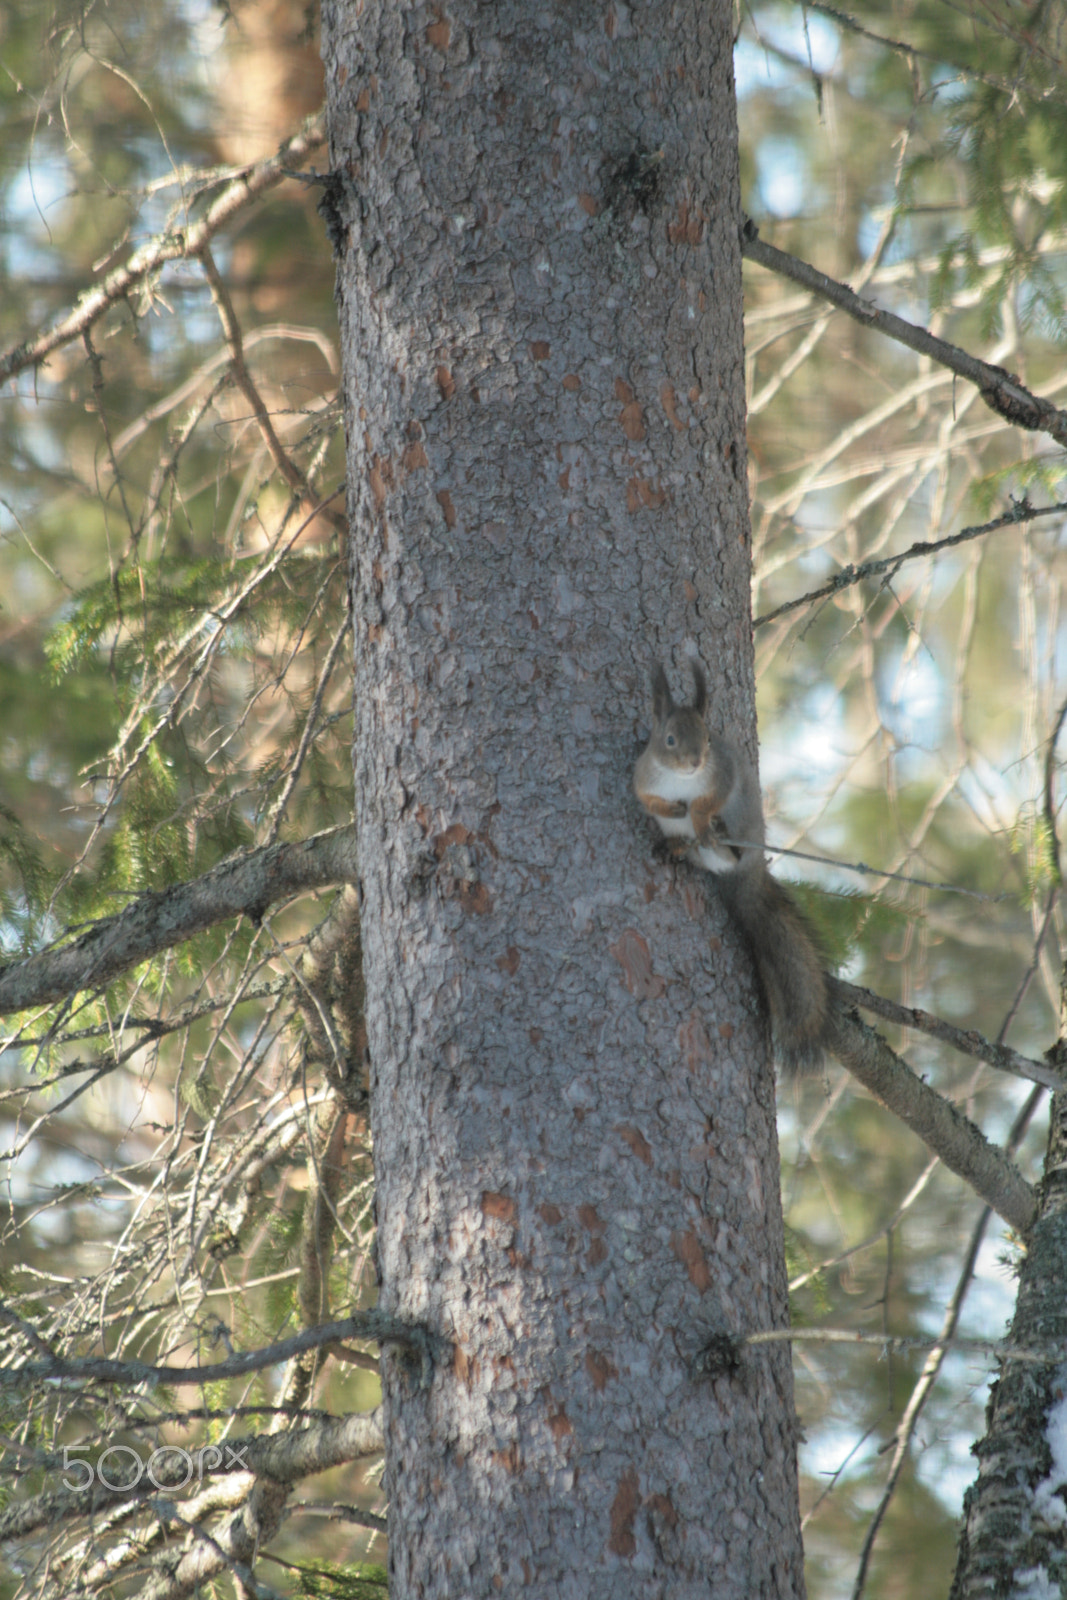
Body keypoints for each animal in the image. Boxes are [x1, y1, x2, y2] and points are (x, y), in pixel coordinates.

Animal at [633, 659, 829, 1075]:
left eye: (708, 739)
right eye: (669, 740)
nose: (695, 762)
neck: (680, 780)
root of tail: (748, 873)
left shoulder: (722, 776)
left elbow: (708, 801)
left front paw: (697, 814)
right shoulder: (643, 778)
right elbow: (648, 800)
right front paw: (671, 808)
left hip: (743, 829)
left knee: (727, 846)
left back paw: (715, 834)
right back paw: (677, 844)